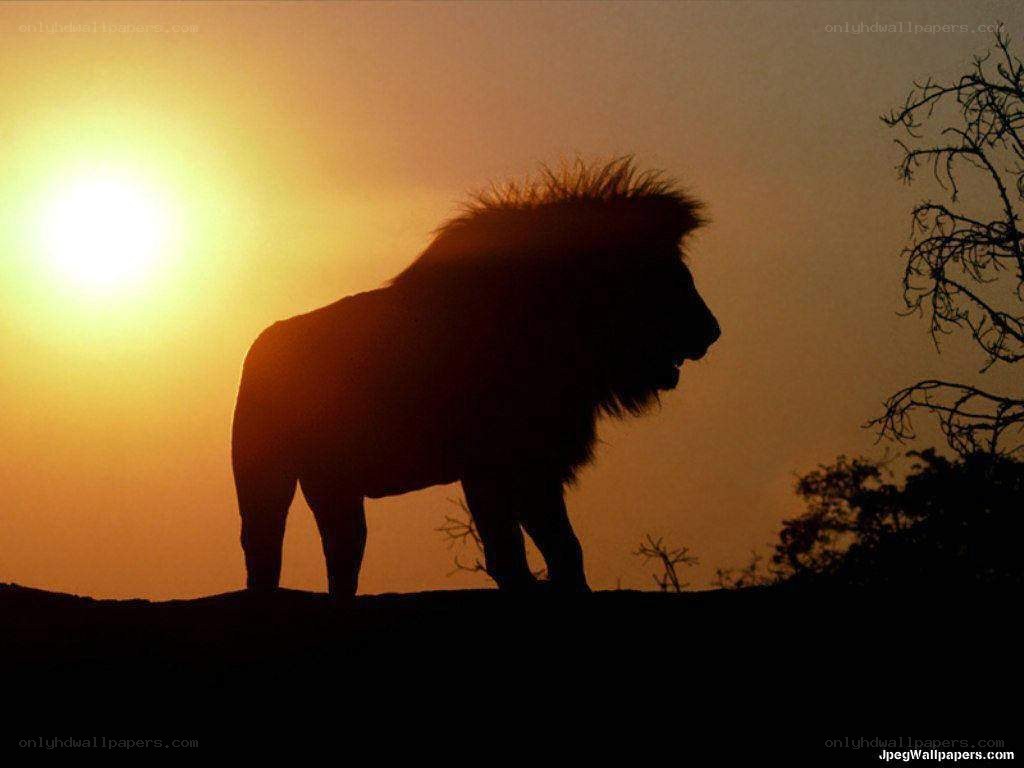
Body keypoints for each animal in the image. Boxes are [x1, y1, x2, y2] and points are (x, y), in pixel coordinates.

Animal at [232, 157, 720, 597]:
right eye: (666, 273)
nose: (712, 330)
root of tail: (260, 345)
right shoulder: (494, 464)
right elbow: (512, 548)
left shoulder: (537, 461)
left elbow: (560, 544)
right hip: (266, 472)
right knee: (265, 547)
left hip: (333, 482)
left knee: (343, 551)